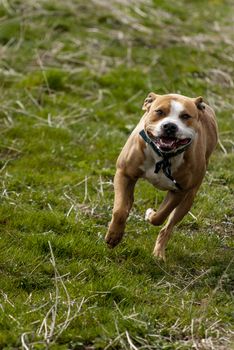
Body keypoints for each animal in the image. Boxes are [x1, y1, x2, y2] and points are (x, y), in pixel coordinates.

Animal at [104, 93, 218, 260]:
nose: (170, 126)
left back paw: (159, 253)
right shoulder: (124, 174)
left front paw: (150, 214)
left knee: (168, 227)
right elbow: (120, 211)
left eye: (185, 116)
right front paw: (114, 236)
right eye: (159, 112)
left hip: (189, 198)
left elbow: (160, 217)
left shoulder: (179, 190)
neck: (163, 156)